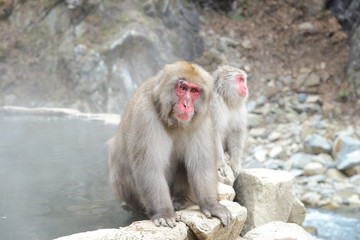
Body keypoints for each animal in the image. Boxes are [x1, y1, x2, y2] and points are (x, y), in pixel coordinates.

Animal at [107, 61, 231, 228]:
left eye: (194, 90)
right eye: (182, 88)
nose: (186, 105)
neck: (173, 121)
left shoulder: (202, 120)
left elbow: (201, 165)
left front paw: (212, 206)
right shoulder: (145, 115)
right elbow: (150, 168)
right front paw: (164, 212)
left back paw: (181, 200)